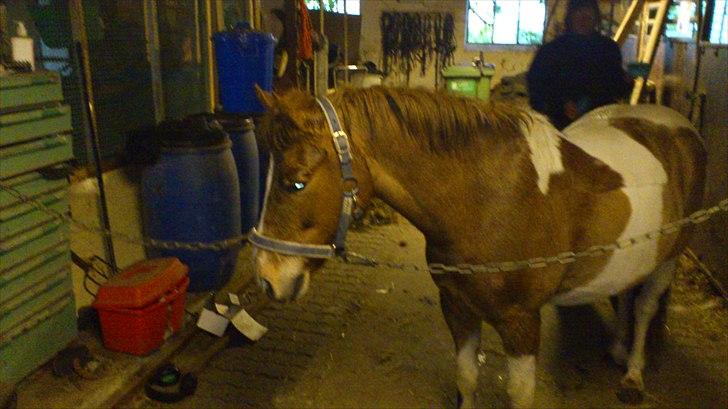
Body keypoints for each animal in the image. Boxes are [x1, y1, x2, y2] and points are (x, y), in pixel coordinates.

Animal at [249, 85, 706, 408]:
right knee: (626, 294)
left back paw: (633, 375)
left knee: (644, 306)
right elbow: (466, 379)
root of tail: (677, 125)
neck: (491, 198)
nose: (268, 278)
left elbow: (519, 396)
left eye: (296, 181)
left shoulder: (522, 322)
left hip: (669, 258)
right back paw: (616, 350)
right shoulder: (457, 306)